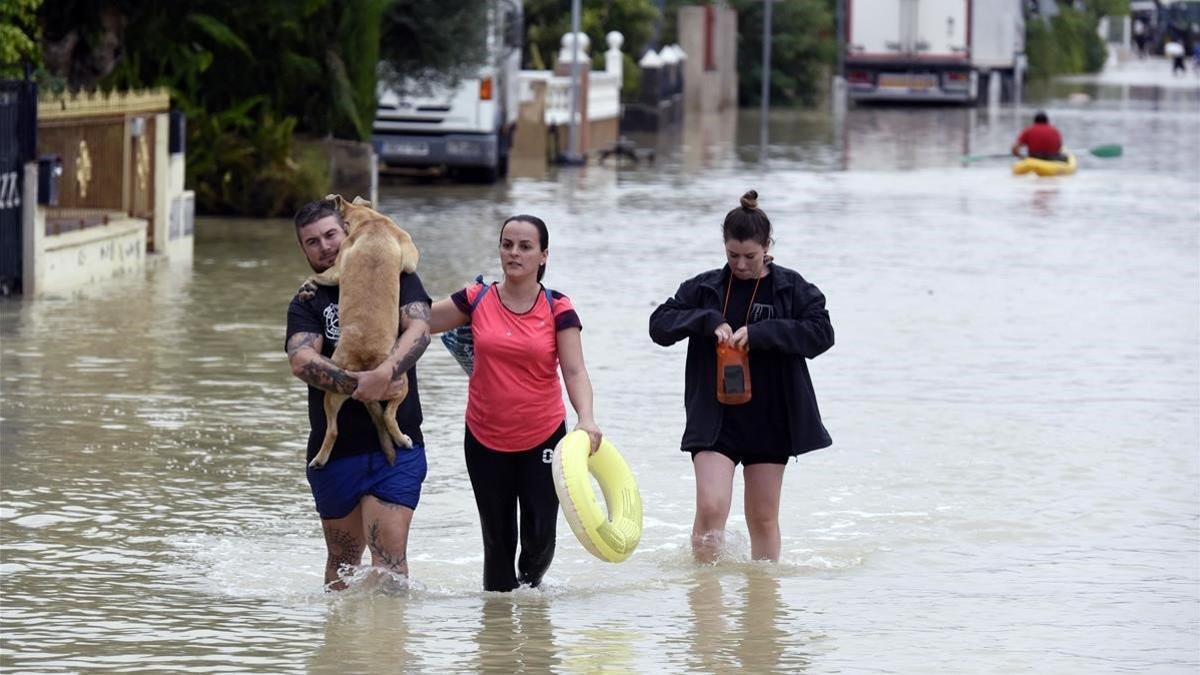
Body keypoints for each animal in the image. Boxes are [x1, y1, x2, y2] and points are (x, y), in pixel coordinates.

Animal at [307, 194, 420, 468]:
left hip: (332, 392)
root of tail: (364, 360)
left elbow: (320, 276)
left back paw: (320, 459)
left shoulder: (336, 269)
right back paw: (402, 440)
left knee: (333, 430)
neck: (370, 223)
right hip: (400, 382)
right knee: (389, 416)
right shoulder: (410, 255)